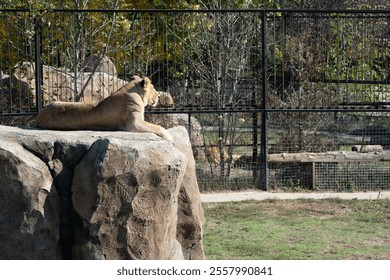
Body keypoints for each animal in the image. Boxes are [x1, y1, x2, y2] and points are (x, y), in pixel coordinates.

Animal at [33, 75, 174, 142]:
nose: (159, 96)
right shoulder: (134, 123)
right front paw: (170, 137)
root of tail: (38, 116)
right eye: (154, 88)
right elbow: (158, 127)